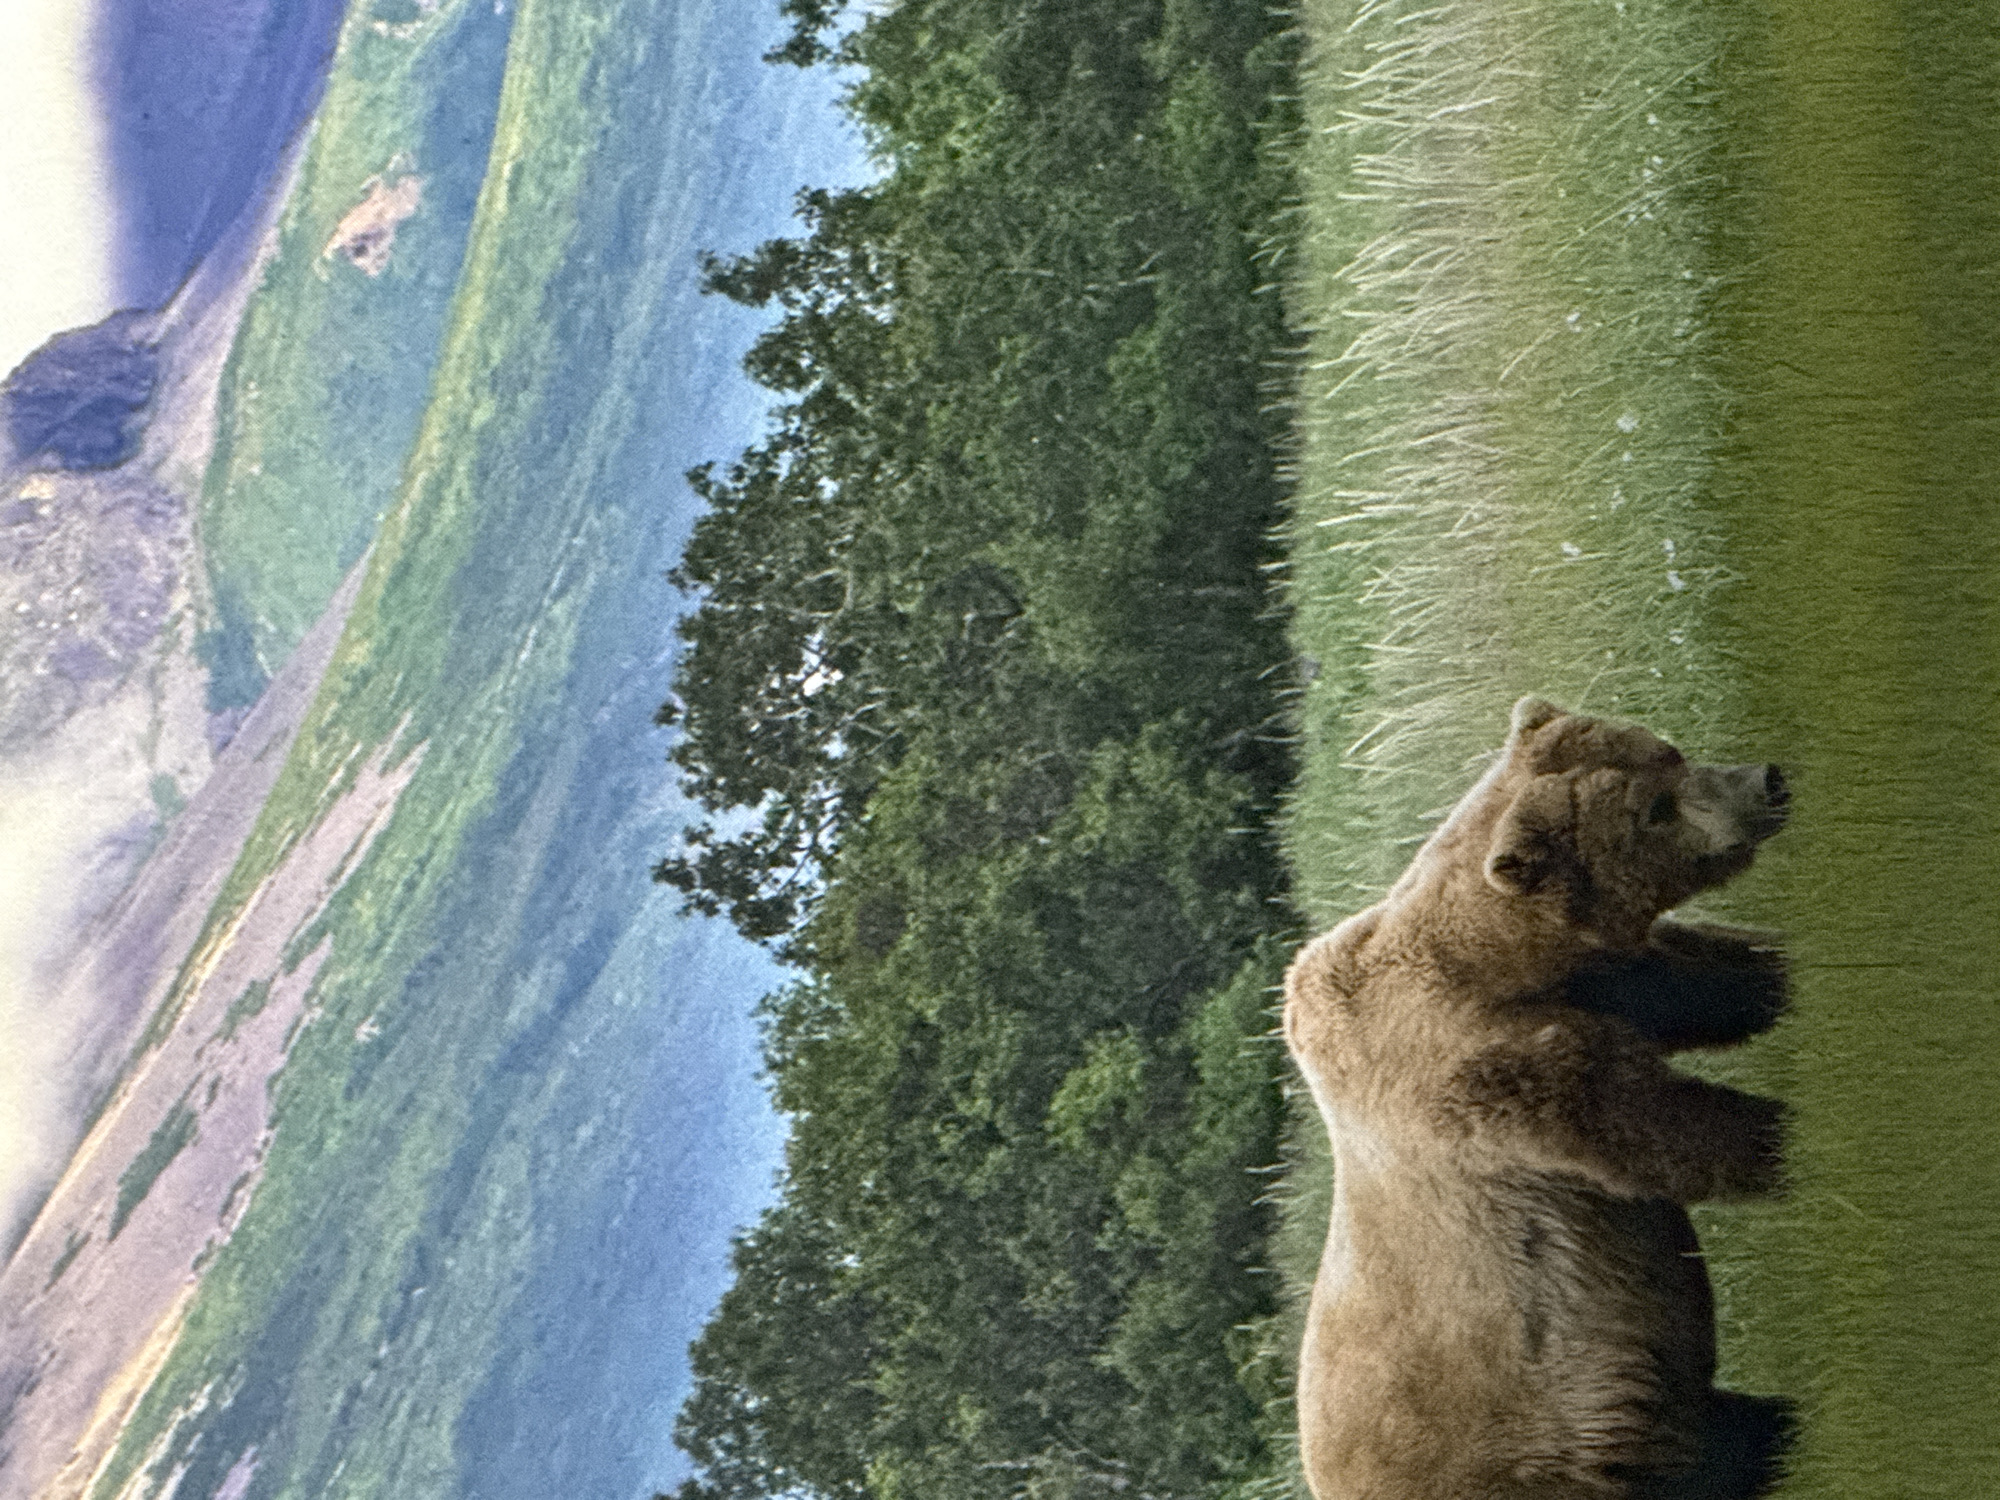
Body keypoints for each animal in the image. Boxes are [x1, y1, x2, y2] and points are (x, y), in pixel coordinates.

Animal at [1283, 697, 1795, 1500]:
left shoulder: (1606, 982)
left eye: (1667, 751)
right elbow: (1664, 1130)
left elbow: (1720, 978)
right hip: (1540, 1445)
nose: (1765, 782)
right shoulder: (1491, 1083)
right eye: (1653, 809)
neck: (1493, 969)